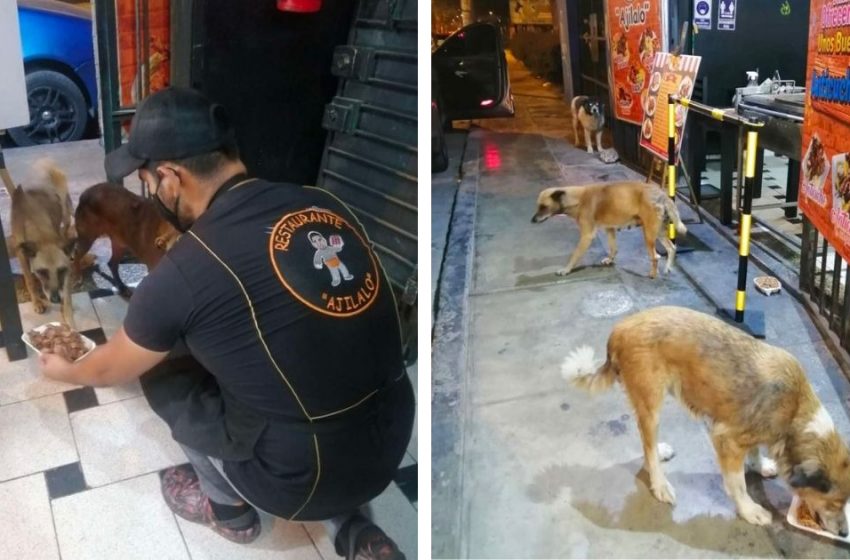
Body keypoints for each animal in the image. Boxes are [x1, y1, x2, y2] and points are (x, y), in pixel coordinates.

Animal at [6, 159, 76, 328]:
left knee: (65, 226)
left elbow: (67, 295)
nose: (56, 299)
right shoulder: (22, 256)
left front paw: (69, 320)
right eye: (42, 272)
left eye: (61, 270)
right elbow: (30, 280)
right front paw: (37, 302)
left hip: (65, 213)